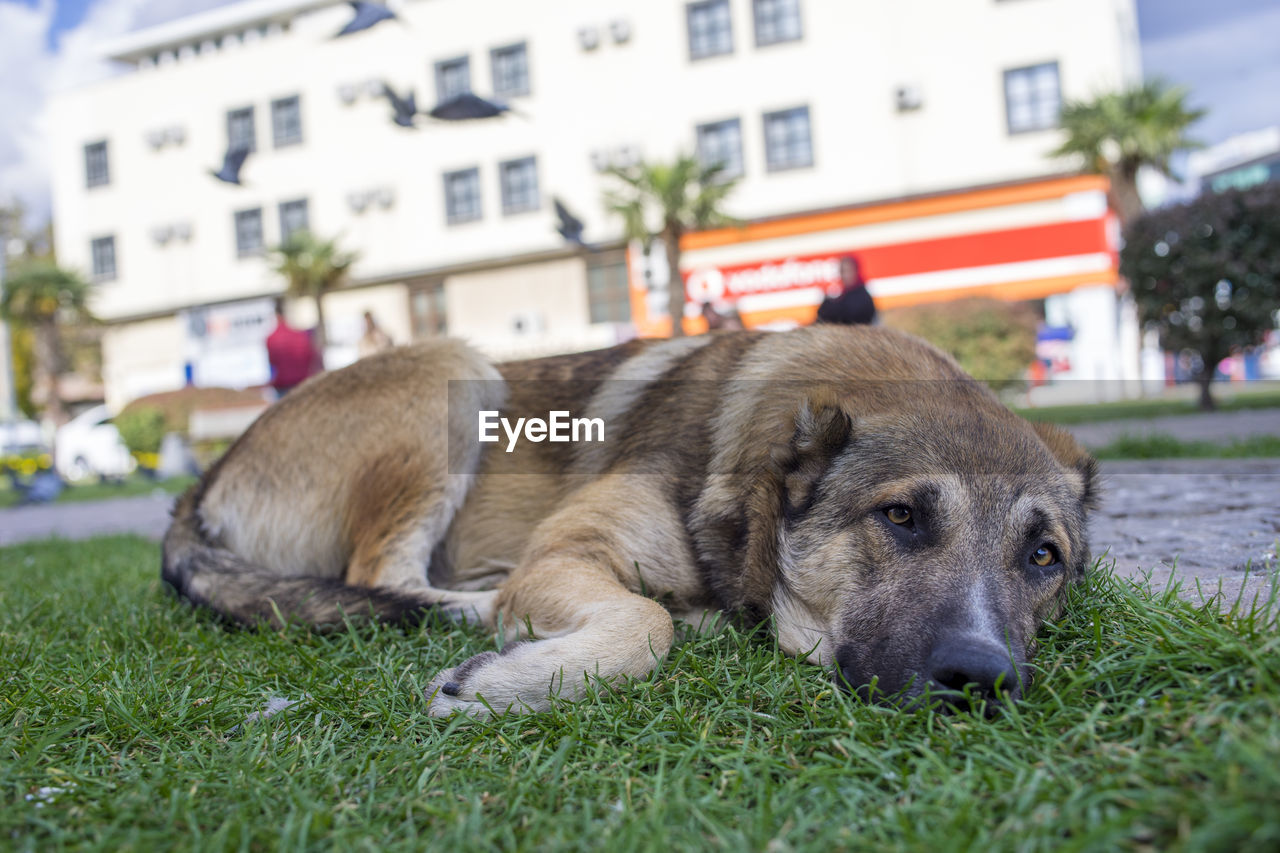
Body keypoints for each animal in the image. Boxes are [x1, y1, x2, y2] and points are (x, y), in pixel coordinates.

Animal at [162, 325, 1100, 712]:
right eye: (901, 515)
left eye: (1043, 556)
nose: (981, 678)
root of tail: (203, 481)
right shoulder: (570, 552)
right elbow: (647, 621)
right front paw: (505, 682)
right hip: (450, 374)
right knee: (377, 576)